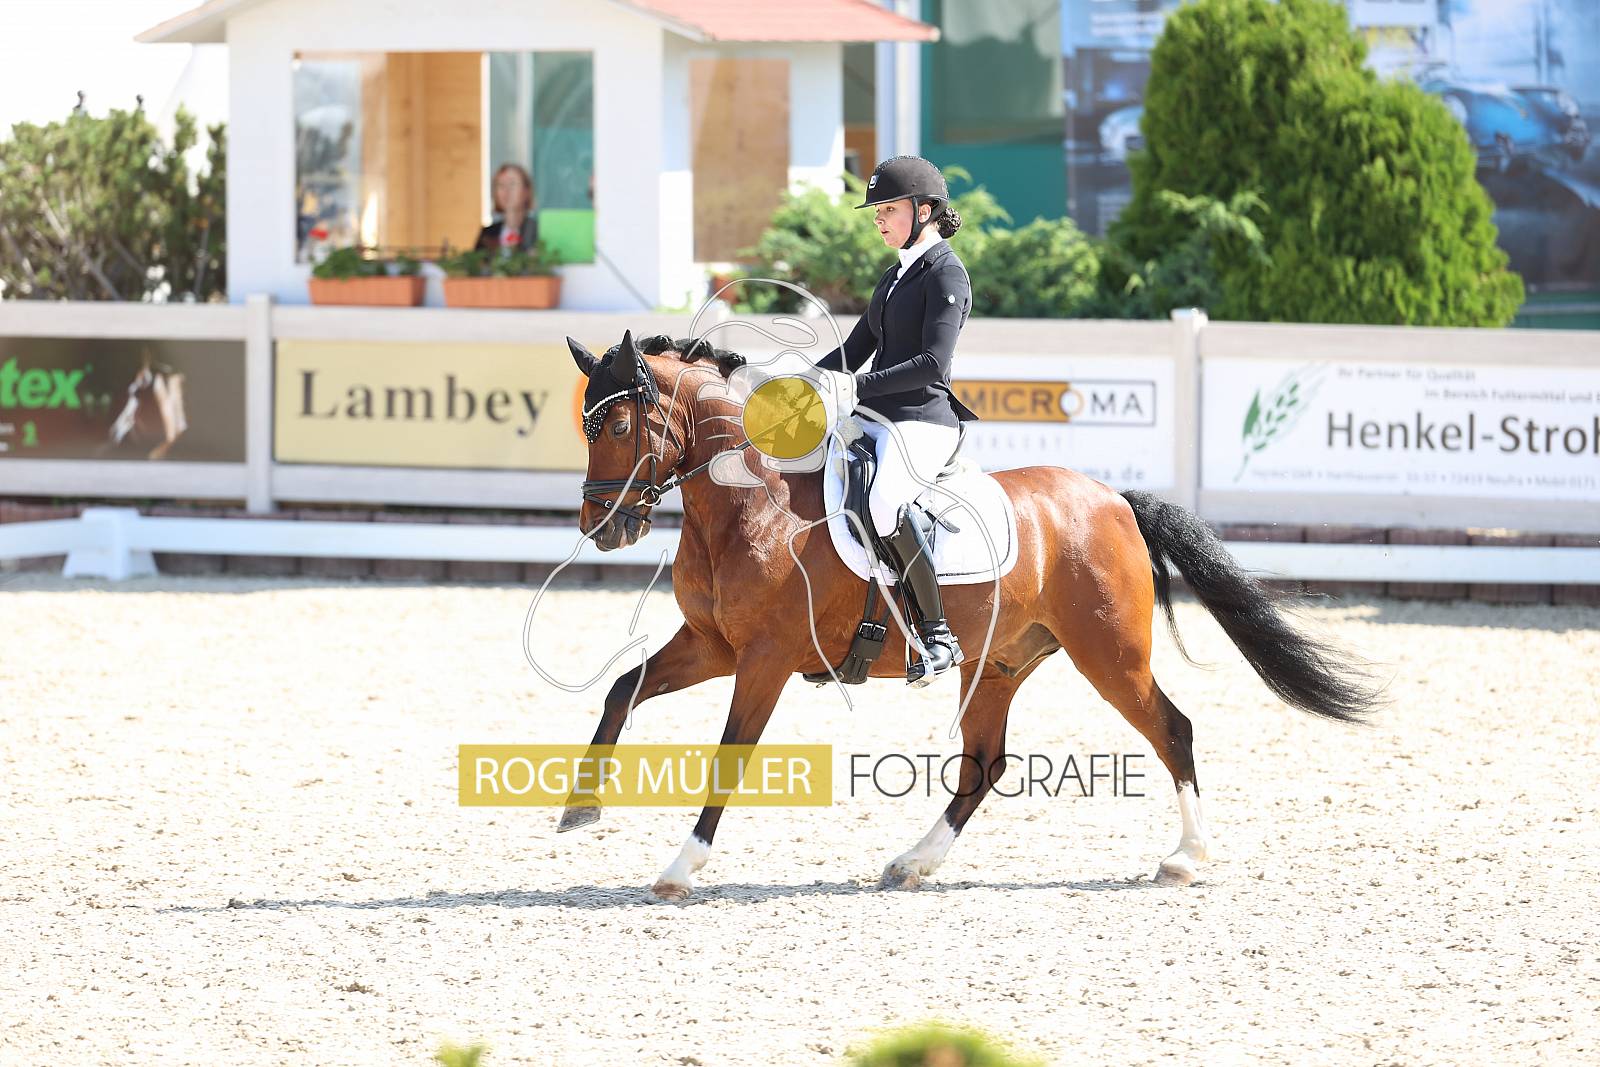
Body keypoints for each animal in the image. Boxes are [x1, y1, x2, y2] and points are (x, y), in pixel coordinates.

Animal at [559, 329, 1385, 901]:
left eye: (618, 427)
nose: (602, 527)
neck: (749, 504)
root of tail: (1114, 499)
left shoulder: (763, 659)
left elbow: (729, 754)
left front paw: (680, 865)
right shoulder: (712, 644)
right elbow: (621, 690)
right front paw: (579, 809)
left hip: (1109, 654)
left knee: (1171, 728)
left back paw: (1185, 858)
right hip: (999, 662)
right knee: (984, 763)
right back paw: (913, 860)